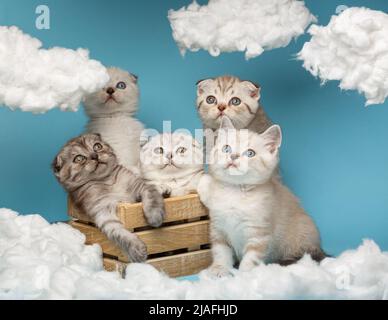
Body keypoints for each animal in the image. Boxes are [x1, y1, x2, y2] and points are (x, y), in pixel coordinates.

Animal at [53, 134, 165, 262]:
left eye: (97, 146)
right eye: (79, 158)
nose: (95, 155)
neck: (106, 181)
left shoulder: (141, 186)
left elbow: (152, 198)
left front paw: (154, 216)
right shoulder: (103, 213)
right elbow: (119, 233)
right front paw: (137, 249)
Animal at [199, 120, 326, 278]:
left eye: (250, 153)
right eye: (226, 148)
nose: (233, 156)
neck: (235, 192)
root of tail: (318, 246)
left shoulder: (259, 234)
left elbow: (251, 257)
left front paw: (244, 276)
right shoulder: (219, 228)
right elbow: (220, 251)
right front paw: (219, 269)